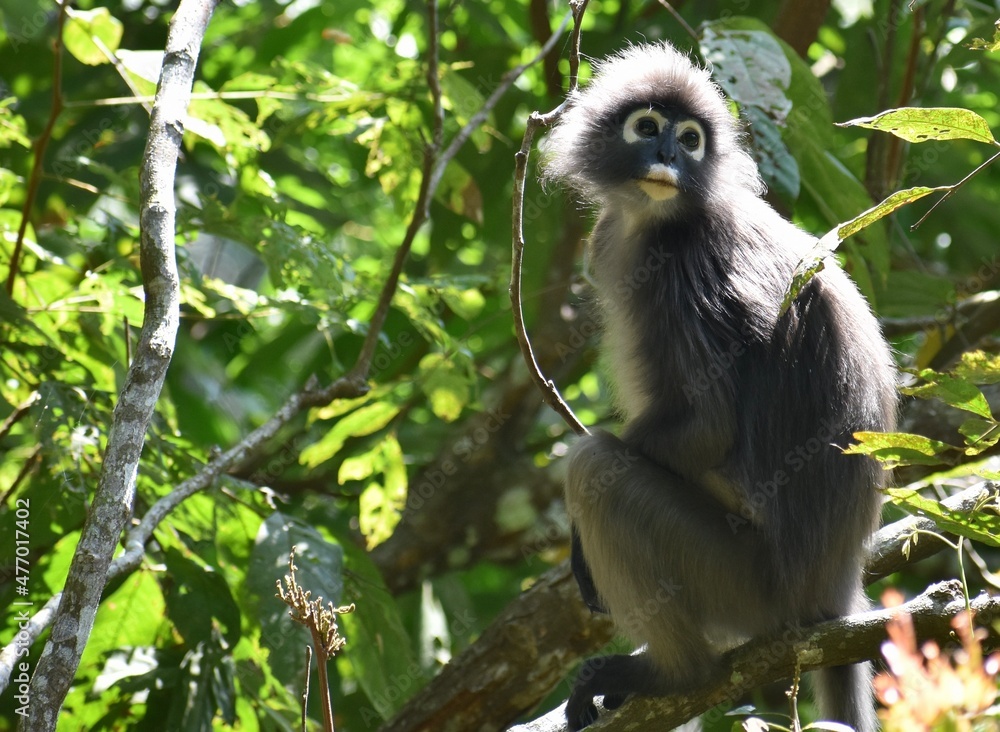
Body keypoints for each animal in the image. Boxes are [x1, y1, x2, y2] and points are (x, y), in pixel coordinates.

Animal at [540, 43, 900, 728]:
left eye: (691, 140)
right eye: (648, 128)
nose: (668, 156)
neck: (656, 219)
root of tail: (835, 595)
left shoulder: (688, 278)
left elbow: (709, 428)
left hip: (745, 584)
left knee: (597, 467)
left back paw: (673, 672)